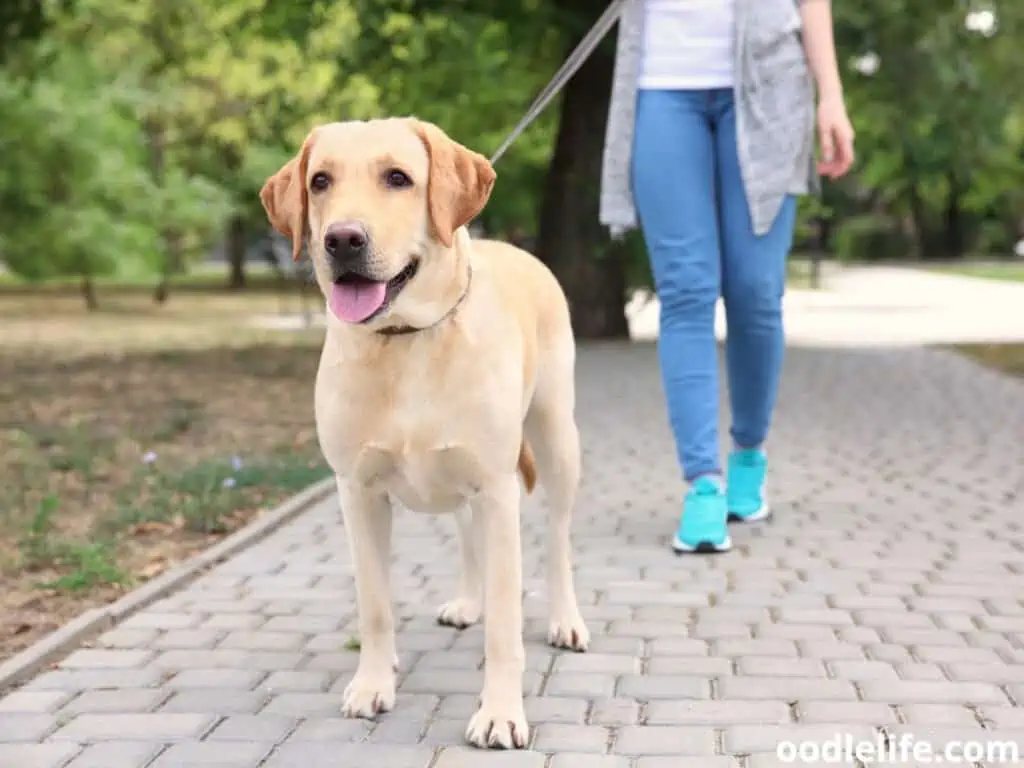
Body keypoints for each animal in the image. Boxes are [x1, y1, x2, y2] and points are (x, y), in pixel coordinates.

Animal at [258, 118, 593, 753]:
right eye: (320, 181)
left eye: (398, 178)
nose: (342, 240)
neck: (406, 339)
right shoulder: (357, 492)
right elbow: (374, 606)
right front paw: (372, 683)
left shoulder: (497, 488)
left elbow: (506, 626)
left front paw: (500, 713)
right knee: (465, 532)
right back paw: (467, 601)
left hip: (557, 440)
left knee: (560, 540)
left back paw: (566, 619)